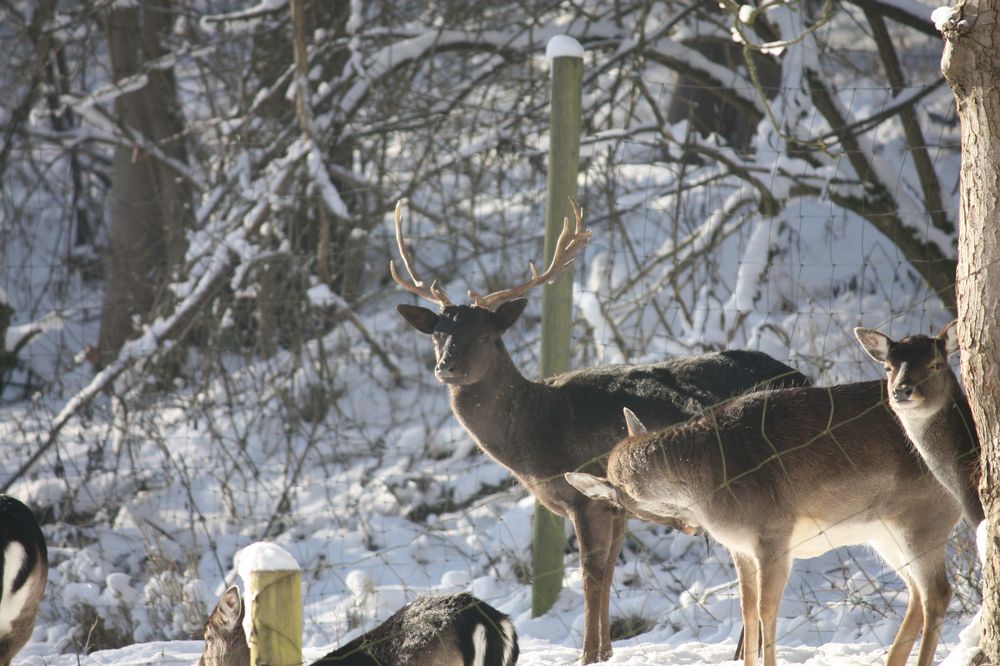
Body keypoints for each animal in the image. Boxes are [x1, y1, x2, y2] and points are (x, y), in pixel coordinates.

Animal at [386, 198, 808, 660]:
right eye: (437, 335)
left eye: (485, 336)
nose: (446, 367)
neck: (533, 433)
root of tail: (802, 377)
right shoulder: (617, 504)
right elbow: (607, 572)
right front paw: (605, 650)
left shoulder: (585, 496)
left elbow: (590, 573)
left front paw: (586, 653)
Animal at [564, 378, 960, 664]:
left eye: (625, 506)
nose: (692, 529)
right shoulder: (739, 547)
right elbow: (745, 607)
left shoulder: (774, 534)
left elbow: (766, 610)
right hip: (884, 535)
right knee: (918, 594)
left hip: (922, 519)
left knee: (938, 593)